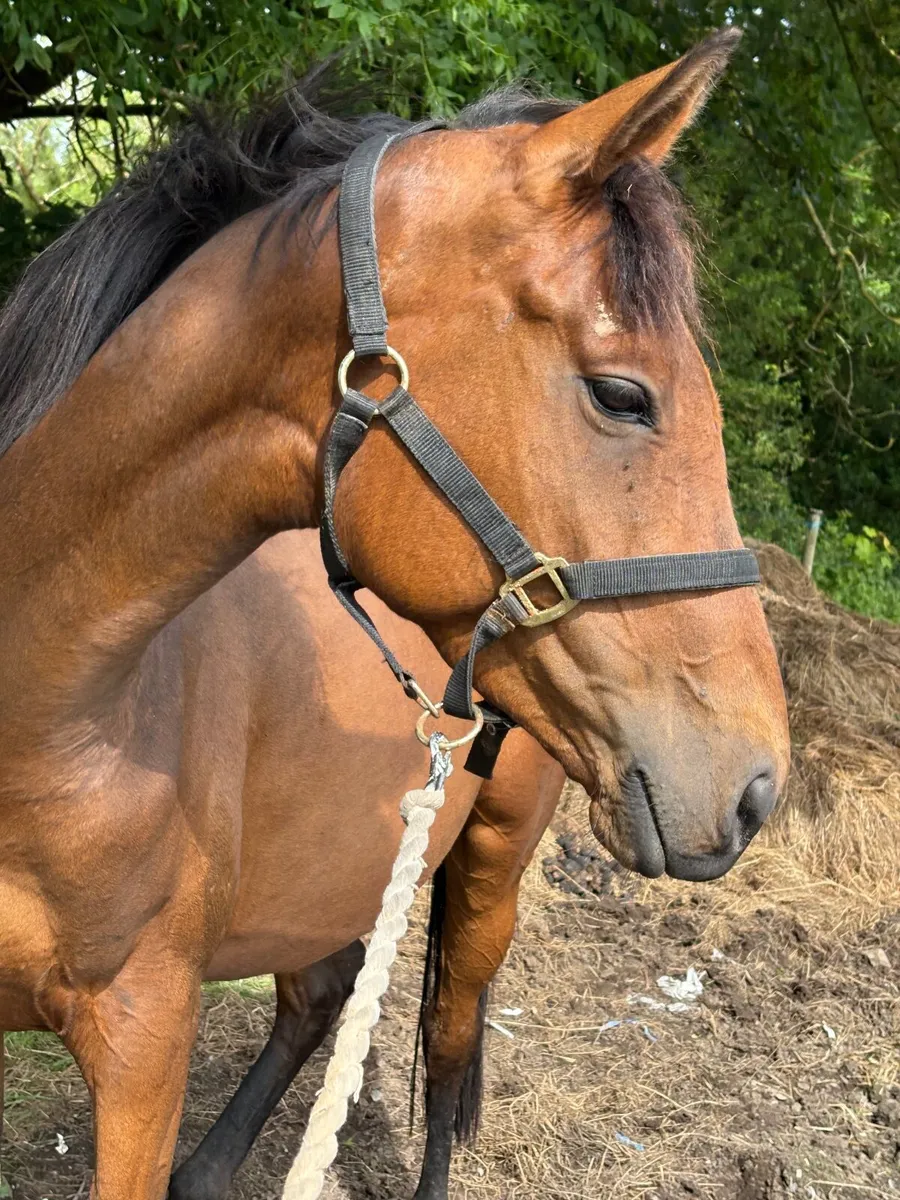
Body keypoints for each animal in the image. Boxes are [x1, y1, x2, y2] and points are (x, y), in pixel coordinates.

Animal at [0, 27, 789, 1199]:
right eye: (622, 394)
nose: (756, 788)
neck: (57, 720)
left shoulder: (145, 1046)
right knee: (326, 992)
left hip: (490, 868)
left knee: (450, 1051)